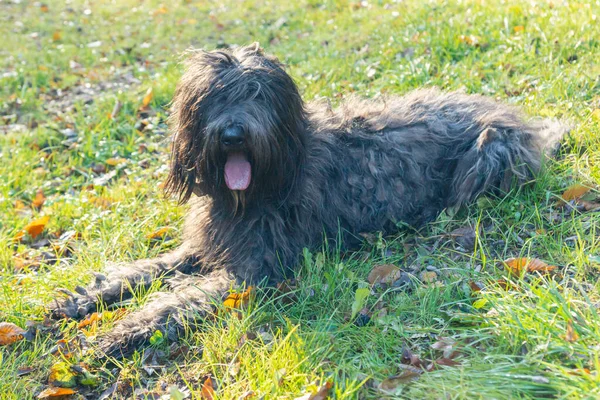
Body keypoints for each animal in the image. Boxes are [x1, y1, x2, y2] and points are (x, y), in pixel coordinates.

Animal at [49, 43, 568, 356]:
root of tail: (516, 118)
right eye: (214, 96)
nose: (233, 134)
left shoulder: (252, 270)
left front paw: (124, 331)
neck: (258, 187)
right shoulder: (204, 245)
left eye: (257, 94)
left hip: (487, 157)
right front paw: (82, 301)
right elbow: (143, 271)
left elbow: (177, 300)